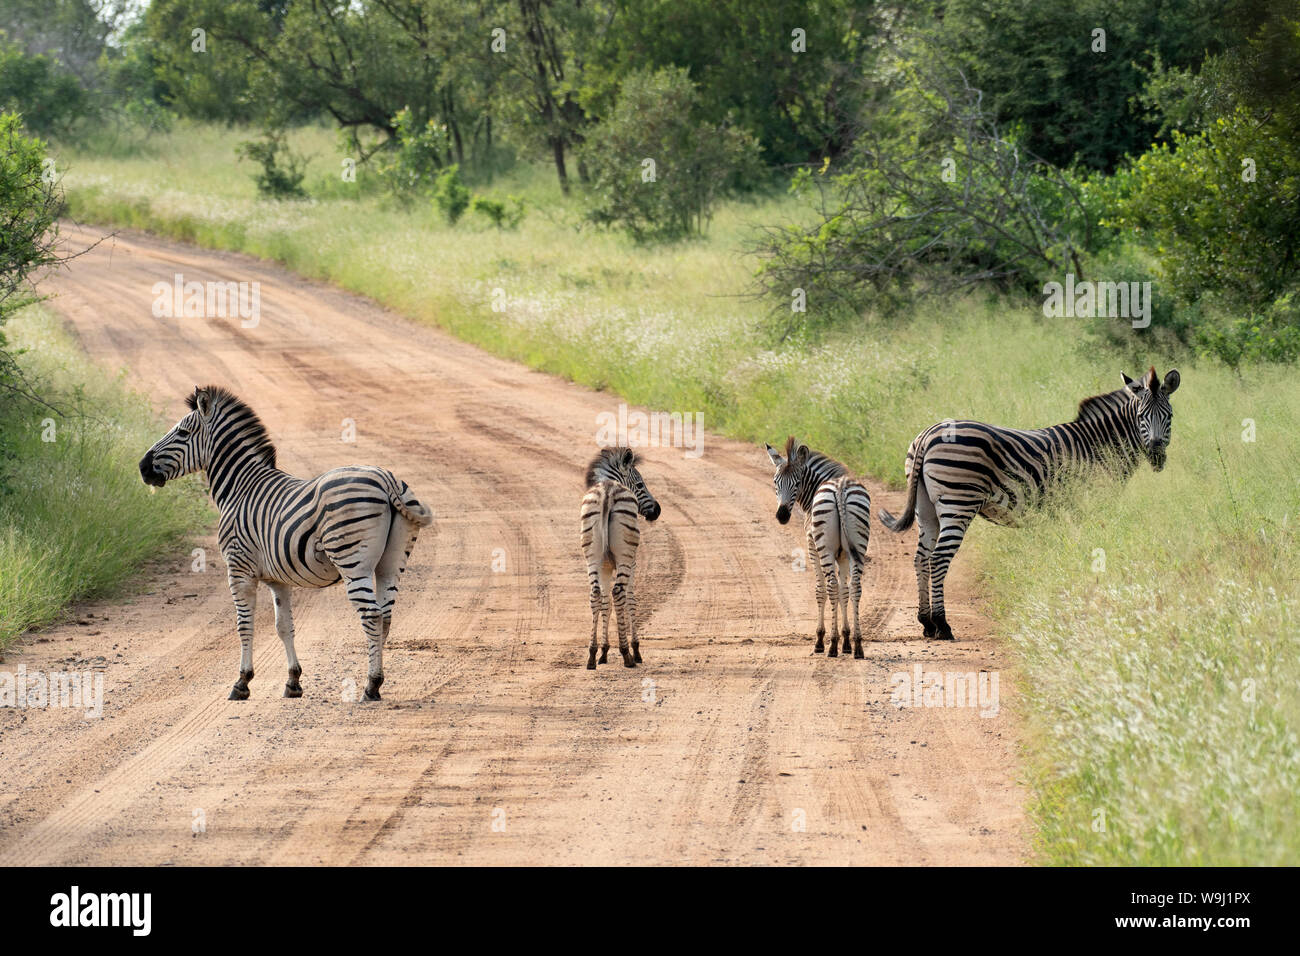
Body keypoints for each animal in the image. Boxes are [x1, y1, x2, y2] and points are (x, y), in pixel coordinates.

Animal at [139, 385, 433, 701]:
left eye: (182, 432)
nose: (142, 467)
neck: (240, 488)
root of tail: (386, 478)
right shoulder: (278, 579)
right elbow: (284, 626)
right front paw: (293, 681)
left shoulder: (239, 568)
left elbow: (245, 625)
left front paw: (242, 682)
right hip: (391, 563)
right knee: (386, 616)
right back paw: (376, 681)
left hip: (353, 562)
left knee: (372, 616)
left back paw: (371, 685)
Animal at [580, 447, 660, 669]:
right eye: (640, 484)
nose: (657, 511)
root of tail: (607, 491)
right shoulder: (632, 563)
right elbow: (630, 600)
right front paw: (635, 649)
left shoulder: (605, 566)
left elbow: (605, 603)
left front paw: (603, 651)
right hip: (625, 557)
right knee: (618, 593)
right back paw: (627, 656)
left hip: (592, 557)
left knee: (595, 594)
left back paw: (591, 656)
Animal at [765, 437, 872, 658]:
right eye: (775, 482)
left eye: (797, 483)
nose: (781, 516)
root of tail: (840, 489)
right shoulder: (843, 555)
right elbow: (844, 591)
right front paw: (846, 640)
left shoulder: (812, 546)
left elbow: (821, 590)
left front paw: (822, 639)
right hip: (859, 547)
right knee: (856, 587)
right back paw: (858, 645)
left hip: (824, 548)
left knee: (829, 586)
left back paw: (830, 646)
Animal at [880, 366, 1181, 641]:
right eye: (1141, 417)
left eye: (1169, 416)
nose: (1156, 455)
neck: (1100, 446)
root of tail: (927, 434)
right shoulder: (1091, 503)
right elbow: (1091, 551)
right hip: (959, 501)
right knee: (939, 558)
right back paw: (942, 625)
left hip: (926, 509)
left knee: (921, 558)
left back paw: (926, 623)